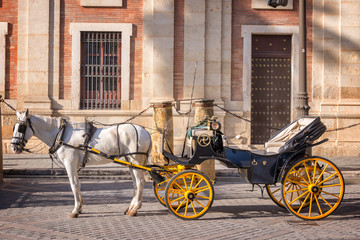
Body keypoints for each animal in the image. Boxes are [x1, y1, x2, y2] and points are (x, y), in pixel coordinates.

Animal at [11, 109, 151, 218]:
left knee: (140, 182)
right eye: (14, 127)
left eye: (21, 128)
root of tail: (145, 131)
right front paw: (79, 207)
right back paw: (131, 207)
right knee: (135, 184)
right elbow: (78, 184)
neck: (61, 134)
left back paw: (134, 209)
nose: (14, 147)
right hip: (131, 162)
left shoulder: (70, 164)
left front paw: (75, 210)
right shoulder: (73, 165)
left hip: (136, 160)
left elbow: (74, 185)